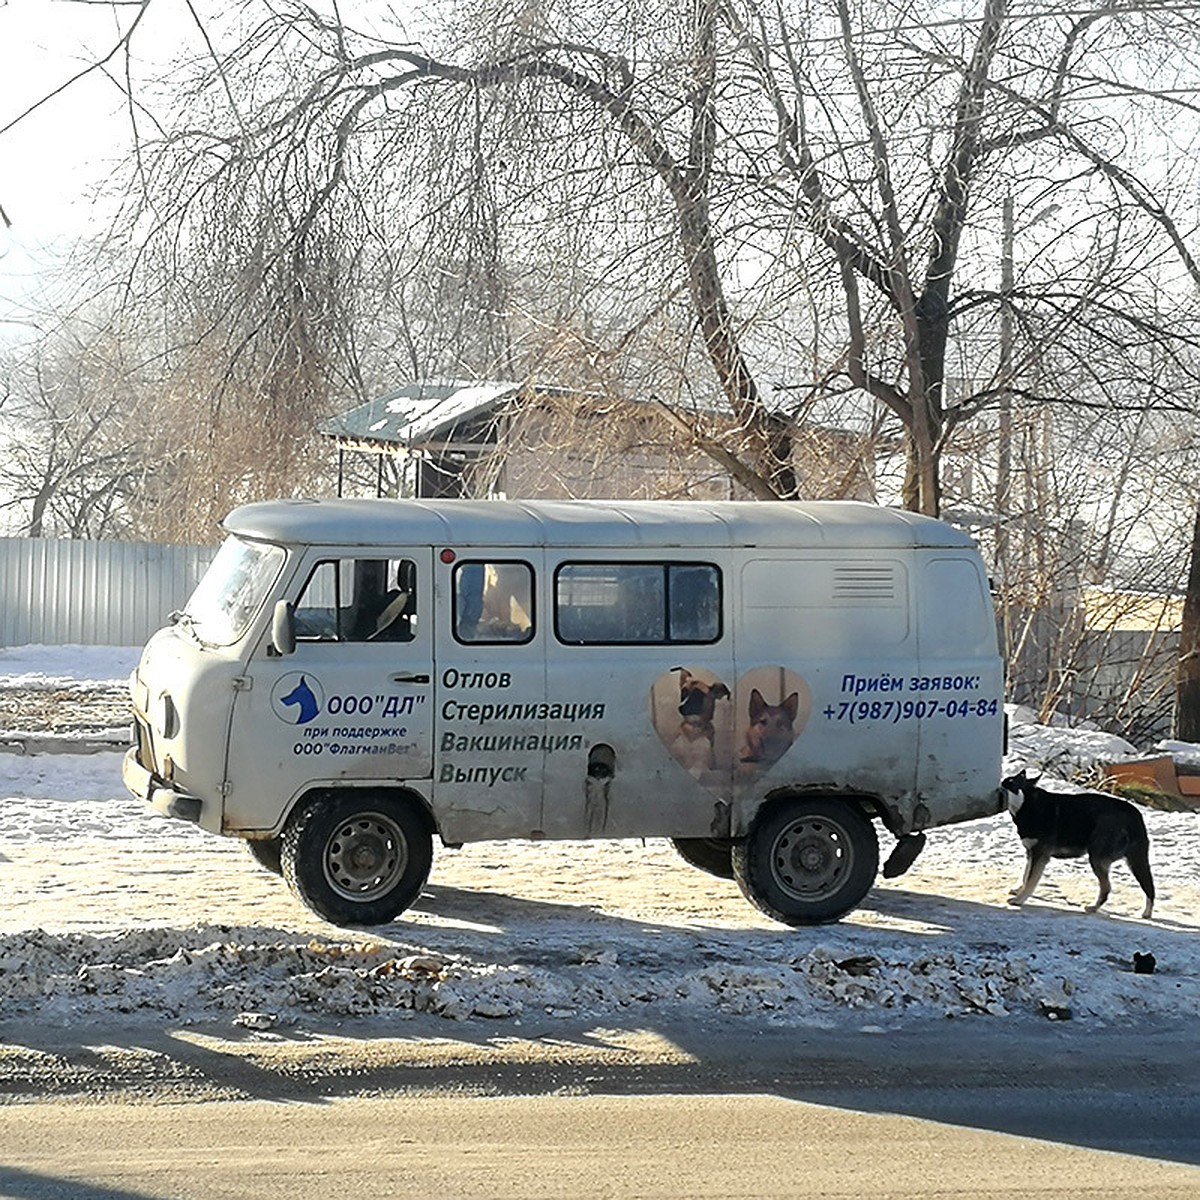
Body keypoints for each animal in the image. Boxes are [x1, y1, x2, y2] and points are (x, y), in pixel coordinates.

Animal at [998, 768, 1156, 916]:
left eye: (1010, 783)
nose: (1000, 783)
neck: (1029, 804)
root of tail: (1134, 815)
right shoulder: (1031, 852)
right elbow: (1025, 875)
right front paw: (1018, 889)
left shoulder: (1040, 854)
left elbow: (1030, 880)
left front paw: (1019, 899)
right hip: (1134, 860)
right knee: (1149, 888)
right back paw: (1146, 913)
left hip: (1097, 858)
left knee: (1107, 888)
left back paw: (1093, 907)